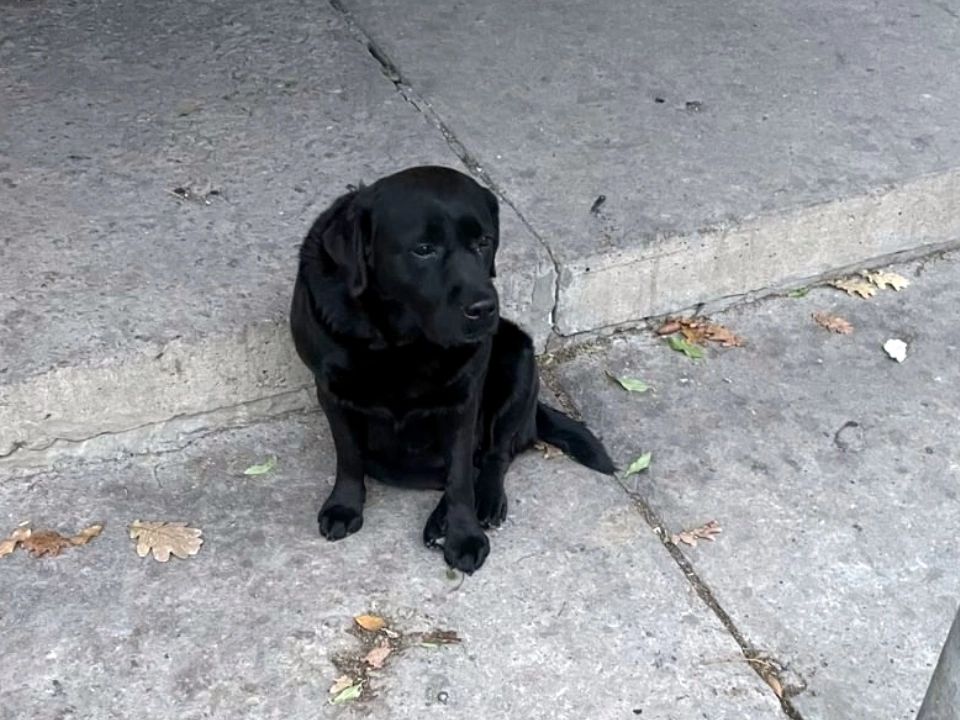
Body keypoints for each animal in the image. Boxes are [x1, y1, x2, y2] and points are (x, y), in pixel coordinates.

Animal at [288, 166, 612, 572]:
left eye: (484, 242)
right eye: (423, 249)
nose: (484, 308)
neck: (399, 340)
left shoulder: (463, 399)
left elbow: (460, 476)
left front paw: (464, 536)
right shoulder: (330, 389)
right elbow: (348, 455)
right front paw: (344, 506)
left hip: (518, 356)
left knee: (494, 456)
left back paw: (478, 505)